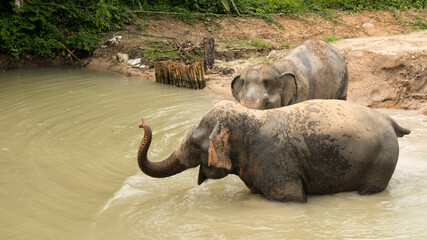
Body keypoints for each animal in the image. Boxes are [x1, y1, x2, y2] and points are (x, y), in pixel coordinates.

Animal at [137, 99, 412, 202]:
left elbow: (291, 198)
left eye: (195, 145)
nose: (141, 122)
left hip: (382, 161)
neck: (249, 118)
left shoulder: (277, 163)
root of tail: (390, 120)